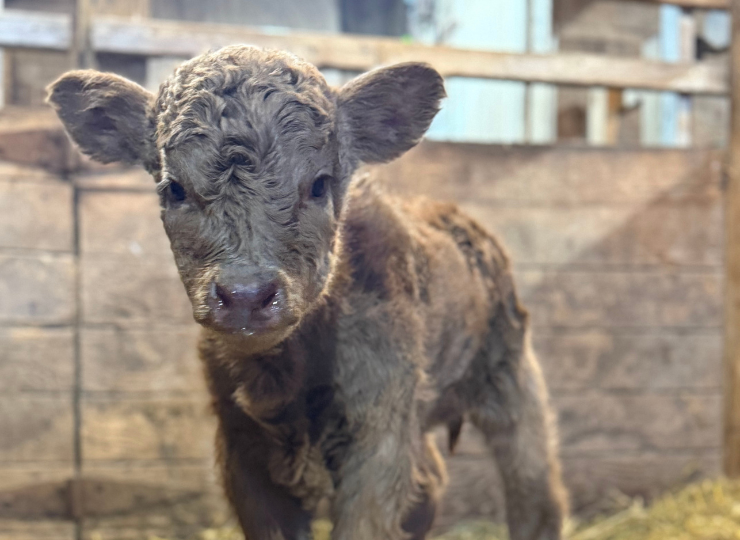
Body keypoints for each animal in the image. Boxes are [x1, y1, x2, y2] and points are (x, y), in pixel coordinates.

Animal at [48, 45, 567, 540]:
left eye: (319, 185)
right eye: (173, 189)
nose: (246, 294)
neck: (288, 379)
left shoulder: (379, 435)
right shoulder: (241, 449)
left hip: (509, 371)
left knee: (535, 484)